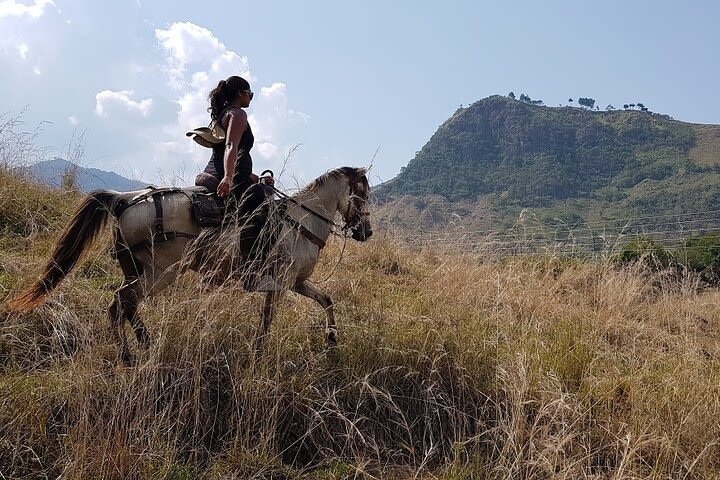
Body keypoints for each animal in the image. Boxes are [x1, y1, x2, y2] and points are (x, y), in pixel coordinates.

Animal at [7, 167, 372, 362]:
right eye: (364, 195)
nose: (366, 232)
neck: (301, 222)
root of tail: (124, 199)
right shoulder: (281, 284)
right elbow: (267, 321)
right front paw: (258, 353)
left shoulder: (295, 283)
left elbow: (326, 300)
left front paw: (332, 340)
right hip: (160, 273)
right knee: (122, 302)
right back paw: (136, 351)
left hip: (137, 270)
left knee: (121, 304)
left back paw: (136, 349)